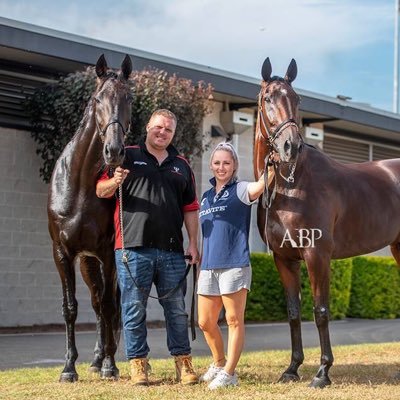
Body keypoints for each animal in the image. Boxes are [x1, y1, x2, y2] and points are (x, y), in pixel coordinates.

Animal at [46, 53, 131, 382]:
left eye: (129, 98)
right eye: (98, 99)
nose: (114, 151)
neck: (80, 185)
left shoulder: (108, 253)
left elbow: (108, 306)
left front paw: (110, 365)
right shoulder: (62, 253)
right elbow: (70, 308)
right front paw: (69, 368)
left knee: (107, 304)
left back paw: (106, 358)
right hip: (86, 263)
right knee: (95, 302)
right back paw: (95, 359)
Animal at [255, 56, 400, 388]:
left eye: (297, 99)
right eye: (268, 98)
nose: (290, 147)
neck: (292, 184)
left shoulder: (317, 255)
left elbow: (320, 311)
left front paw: (322, 372)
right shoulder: (284, 259)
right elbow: (293, 312)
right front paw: (292, 368)